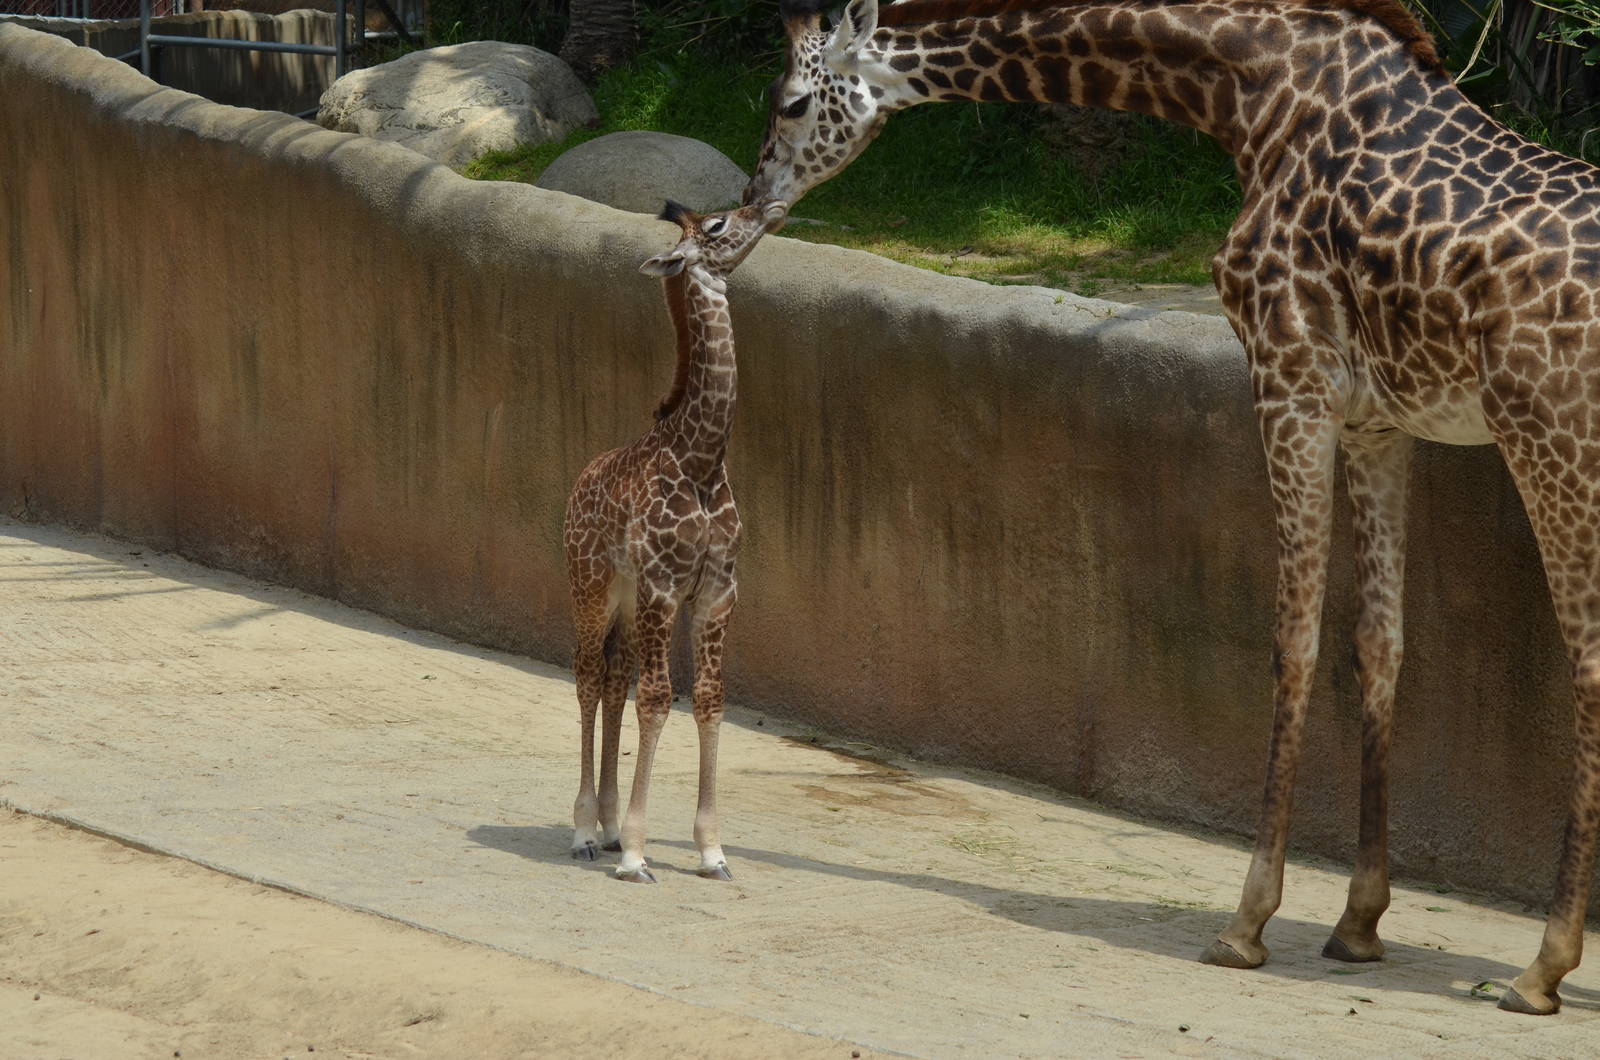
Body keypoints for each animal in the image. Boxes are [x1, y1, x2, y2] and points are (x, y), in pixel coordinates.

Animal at [563, 197, 788, 884]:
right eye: (717, 225)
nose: (769, 206)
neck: (703, 458)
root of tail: (577, 483)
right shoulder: (664, 585)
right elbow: (660, 699)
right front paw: (637, 854)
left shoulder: (718, 590)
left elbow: (710, 699)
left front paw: (712, 851)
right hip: (591, 587)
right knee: (588, 676)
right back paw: (586, 831)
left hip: (628, 602)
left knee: (614, 676)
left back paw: (607, 827)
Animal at [743, 0, 1600, 1014]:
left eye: (792, 102)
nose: (748, 203)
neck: (1254, 95)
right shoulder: (1376, 422)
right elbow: (1380, 644)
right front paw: (1358, 923)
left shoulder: (1289, 380)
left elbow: (1293, 641)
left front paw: (1246, 922)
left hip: (1549, 438)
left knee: (1588, 666)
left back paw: (1542, 968)